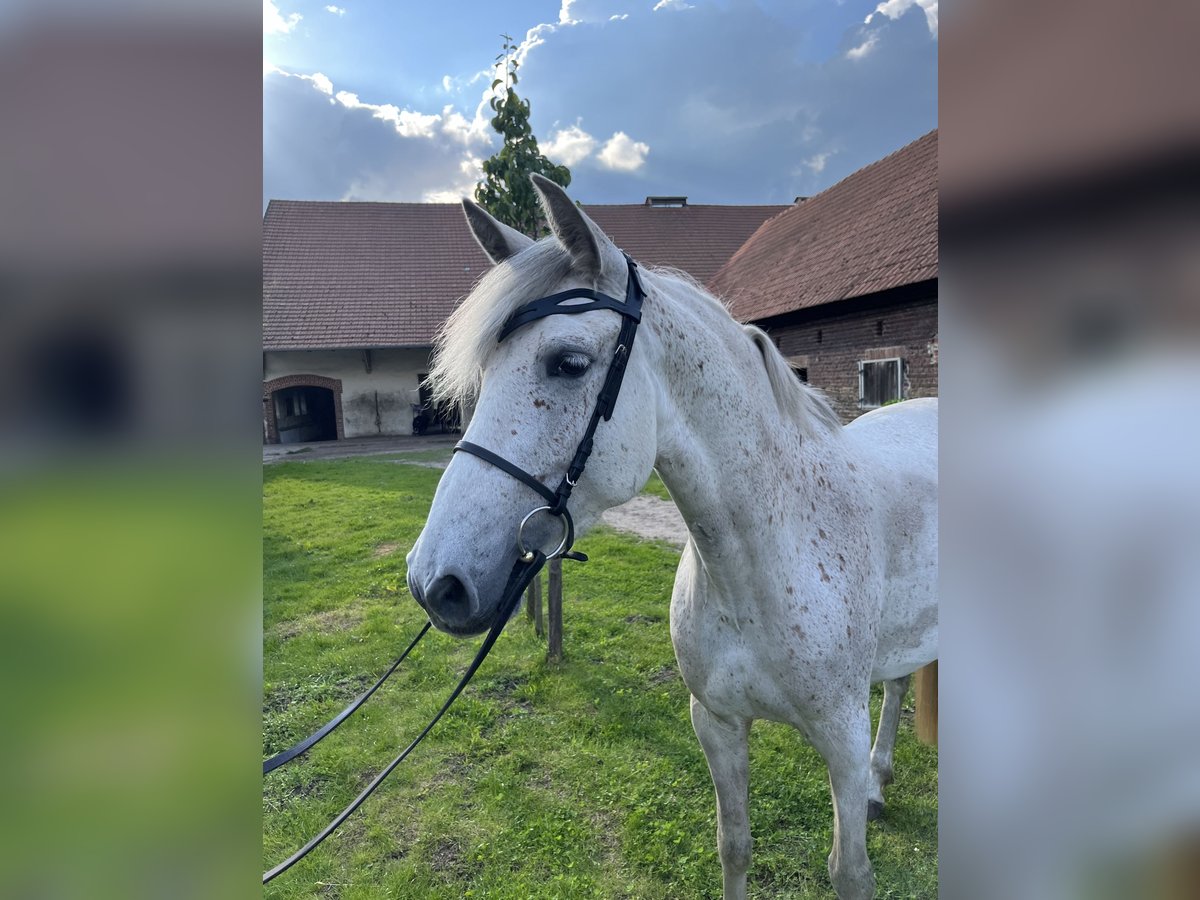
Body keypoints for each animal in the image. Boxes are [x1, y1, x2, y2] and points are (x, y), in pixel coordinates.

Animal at [408, 177, 940, 900]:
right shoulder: (715, 723)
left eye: (568, 363)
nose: (435, 581)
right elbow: (734, 846)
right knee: (900, 685)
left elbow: (849, 872)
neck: (764, 558)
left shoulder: (842, 741)